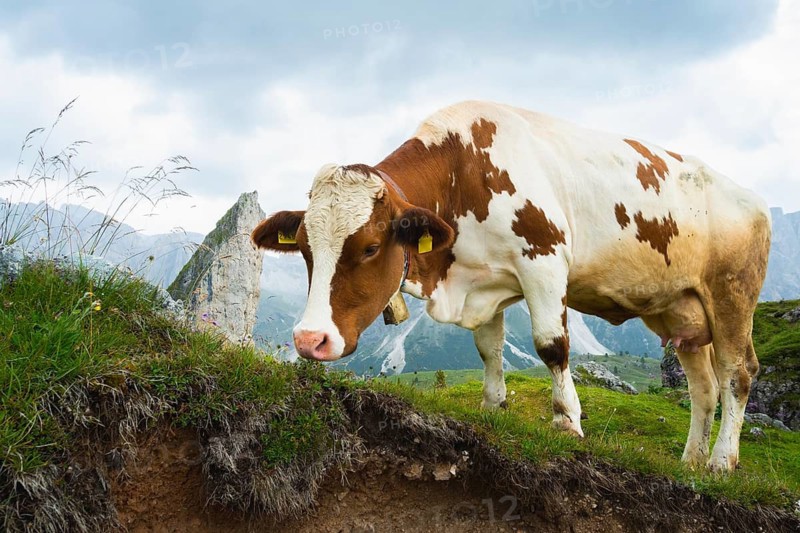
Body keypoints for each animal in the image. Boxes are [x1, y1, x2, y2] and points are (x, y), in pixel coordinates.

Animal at [252, 101, 771, 472]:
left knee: (737, 374)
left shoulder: (544, 261)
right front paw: (493, 408)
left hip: (731, 295)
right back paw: (691, 463)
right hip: (681, 311)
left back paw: (722, 462)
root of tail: (752, 198)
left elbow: (551, 345)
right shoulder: (484, 280)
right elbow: (489, 349)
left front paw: (567, 422)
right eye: (304, 250)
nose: (310, 339)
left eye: (371, 247)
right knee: (703, 388)